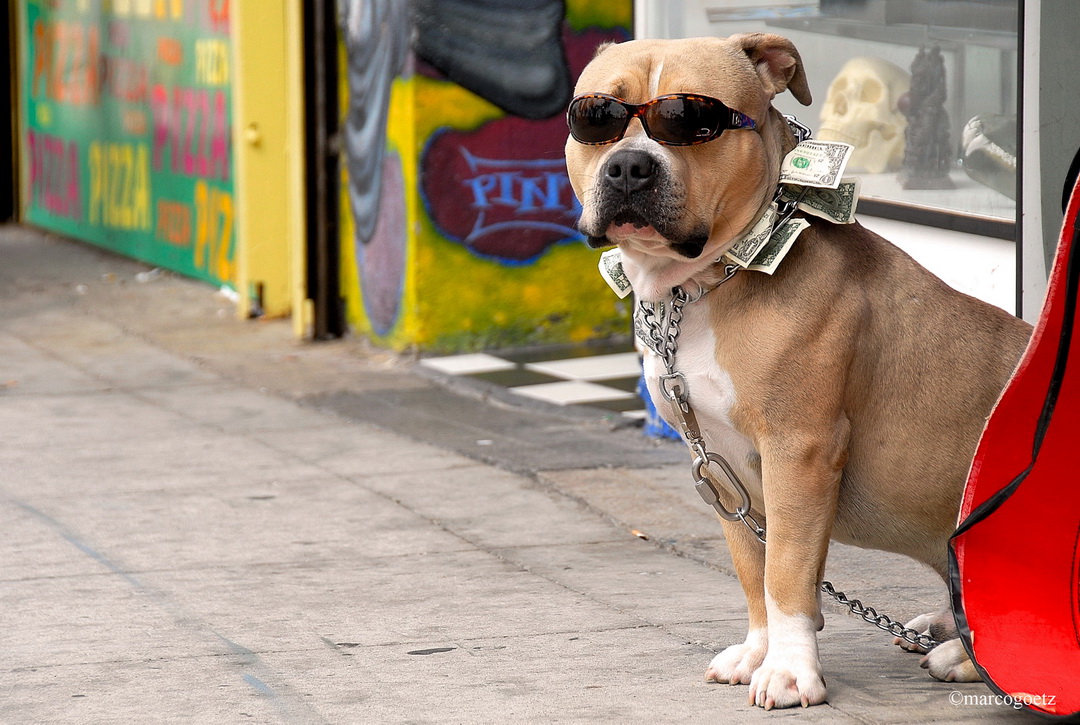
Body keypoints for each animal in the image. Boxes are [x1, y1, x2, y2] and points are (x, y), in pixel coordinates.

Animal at [561, 36, 1032, 713]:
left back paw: (964, 658)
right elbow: (753, 571)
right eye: (595, 117)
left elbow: (785, 570)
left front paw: (788, 672)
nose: (628, 166)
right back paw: (939, 625)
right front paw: (758, 653)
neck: (702, 288)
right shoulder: (723, 468)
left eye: (692, 119)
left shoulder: (799, 450)